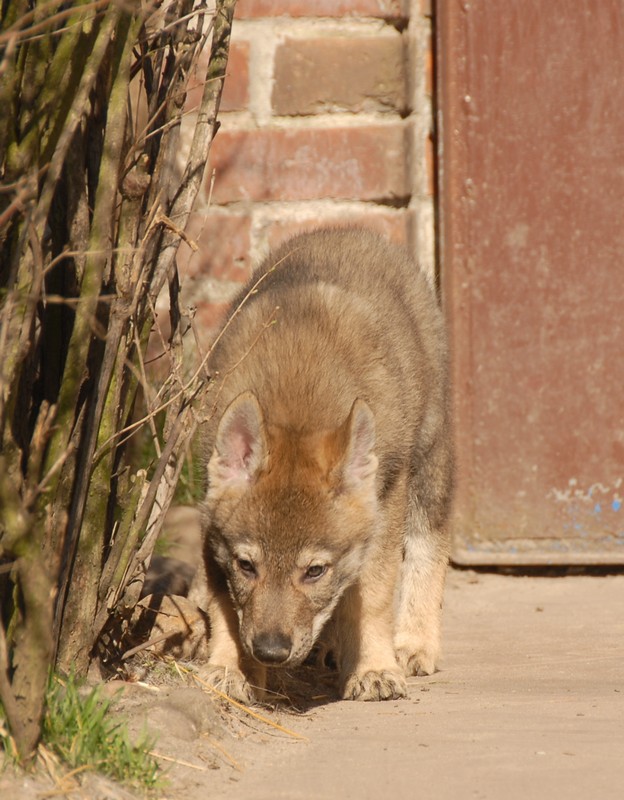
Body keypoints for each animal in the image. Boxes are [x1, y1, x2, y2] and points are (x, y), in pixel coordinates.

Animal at [196, 227, 454, 703]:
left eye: (314, 571)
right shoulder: (211, 520)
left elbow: (370, 599)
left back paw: (414, 643)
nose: (270, 651)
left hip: (429, 464)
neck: (299, 405)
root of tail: (351, 230)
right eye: (247, 566)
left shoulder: (385, 506)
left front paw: (373, 670)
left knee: (428, 546)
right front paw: (228, 669)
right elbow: (223, 604)